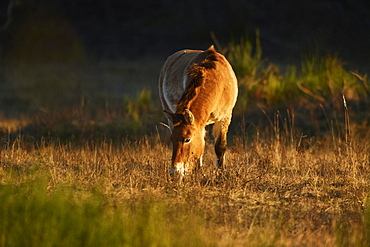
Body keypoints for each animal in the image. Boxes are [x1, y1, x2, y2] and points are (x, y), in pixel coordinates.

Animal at [158, 44, 238, 176]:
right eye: (172, 139)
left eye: (187, 139)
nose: (175, 172)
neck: (219, 84)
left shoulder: (224, 118)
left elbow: (220, 147)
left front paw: (220, 173)